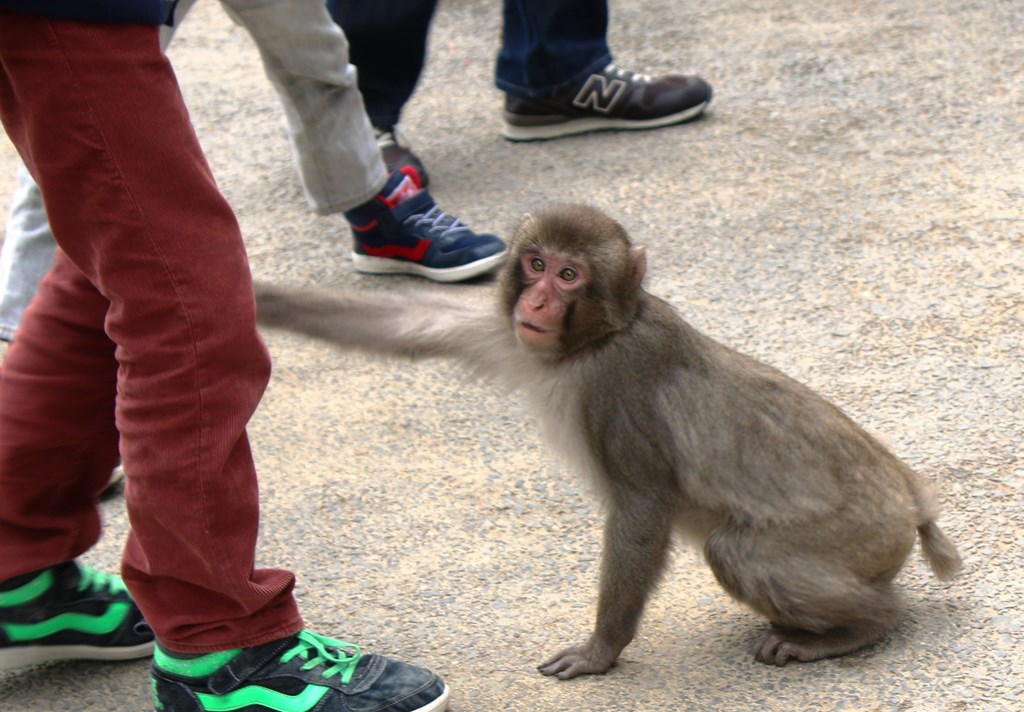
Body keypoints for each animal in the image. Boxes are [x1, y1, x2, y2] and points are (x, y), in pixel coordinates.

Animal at [251, 201, 962, 680]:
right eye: (535, 264)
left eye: (569, 276)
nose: (537, 303)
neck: (594, 340)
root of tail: (912, 501)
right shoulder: (508, 333)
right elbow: (410, 323)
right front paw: (260, 299)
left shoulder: (618, 385)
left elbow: (642, 508)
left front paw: (601, 651)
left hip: (858, 538)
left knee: (738, 551)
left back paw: (865, 623)